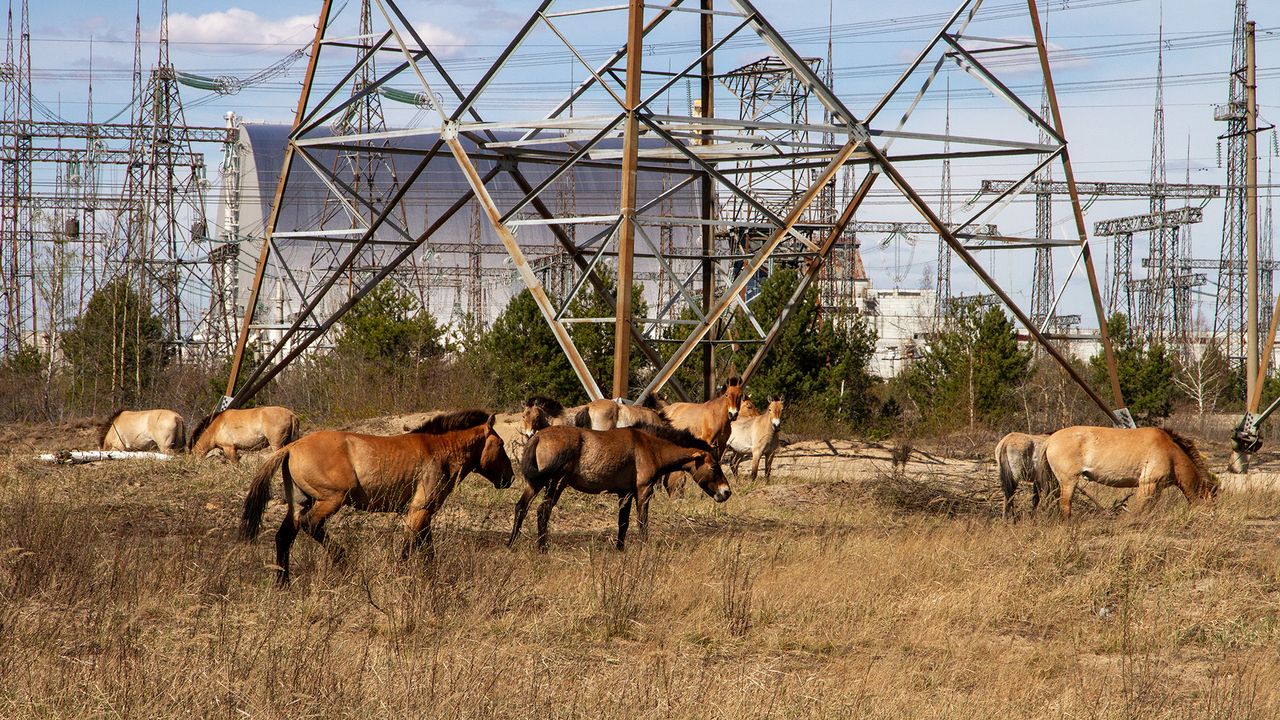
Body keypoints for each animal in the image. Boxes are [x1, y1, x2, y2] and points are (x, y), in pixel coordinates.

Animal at [240, 410, 514, 583]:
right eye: (501, 445)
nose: (509, 478)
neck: (439, 449)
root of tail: (291, 447)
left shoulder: (424, 513)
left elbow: (427, 550)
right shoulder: (419, 510)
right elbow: (409, 547)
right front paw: (401, 576)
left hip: (299, 503)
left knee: (283, 537)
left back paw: (283, 582)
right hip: (332, 500)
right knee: (312, 525)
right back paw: (343, 561)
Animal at [508, 423, 731, 552]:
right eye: (714, 466)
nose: (726, 492)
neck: (648, 445)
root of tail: (538, 436)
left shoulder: (625, 494)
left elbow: (623, 523)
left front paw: (620, 549)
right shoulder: (643, 491)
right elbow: (642, 522)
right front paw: (644, 548)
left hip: (536, 483)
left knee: (521, 507)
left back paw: (511, 544)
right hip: (555, 483)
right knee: (542, 510)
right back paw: (542, 548)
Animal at [1034, 426, 1219, 519]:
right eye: (1211, 506)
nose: (1212, 520)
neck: (1171, 452)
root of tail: (1050, 439)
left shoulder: (1156, 488)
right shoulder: (1147, 484)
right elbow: (1139, 511)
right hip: (1069, 481)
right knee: (1066, 506)